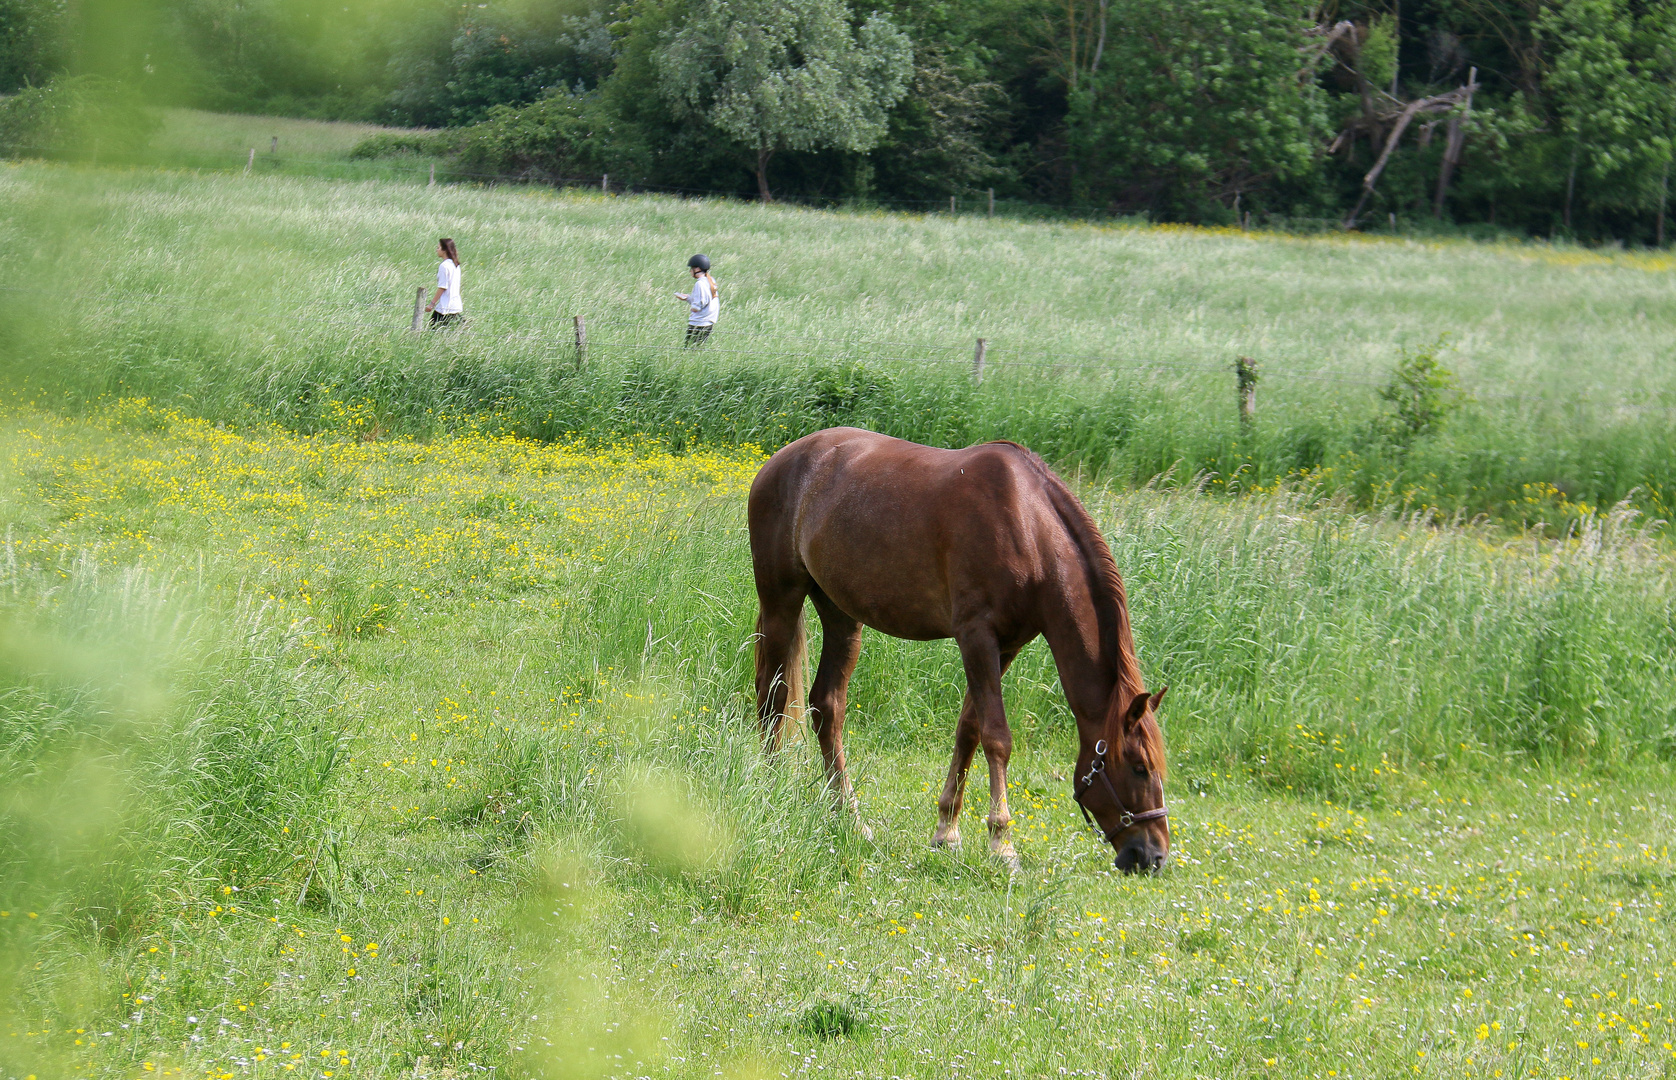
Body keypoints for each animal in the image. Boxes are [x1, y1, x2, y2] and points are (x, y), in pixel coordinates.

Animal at [754, 425, 1173, 872]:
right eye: (1140, 767)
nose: (1153, 855)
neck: (1028, 526)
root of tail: (779, 461)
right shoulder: (976, 637)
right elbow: (997, 737)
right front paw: (1002, 843)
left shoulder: (1006, 646)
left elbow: (969, 730)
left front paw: (947, 831)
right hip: (781, 600)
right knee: (773, 696)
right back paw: (770, 787)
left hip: (841, 617)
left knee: (826, 706)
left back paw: (850, 817)